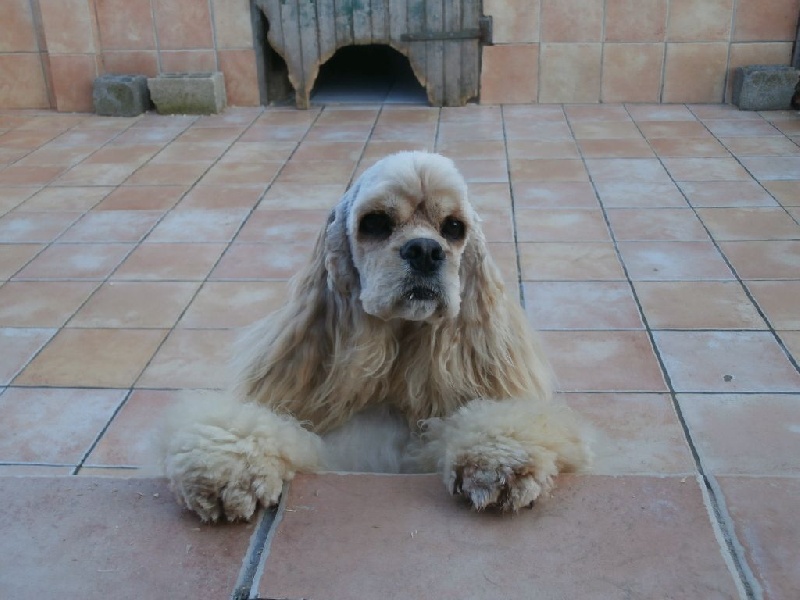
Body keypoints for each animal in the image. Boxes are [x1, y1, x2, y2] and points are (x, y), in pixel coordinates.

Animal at [159, 151, 590, 522]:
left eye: (453, 227)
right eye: (376, 222)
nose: (425, 250)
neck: (395, 364)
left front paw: (499, 462)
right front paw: (226, 470)